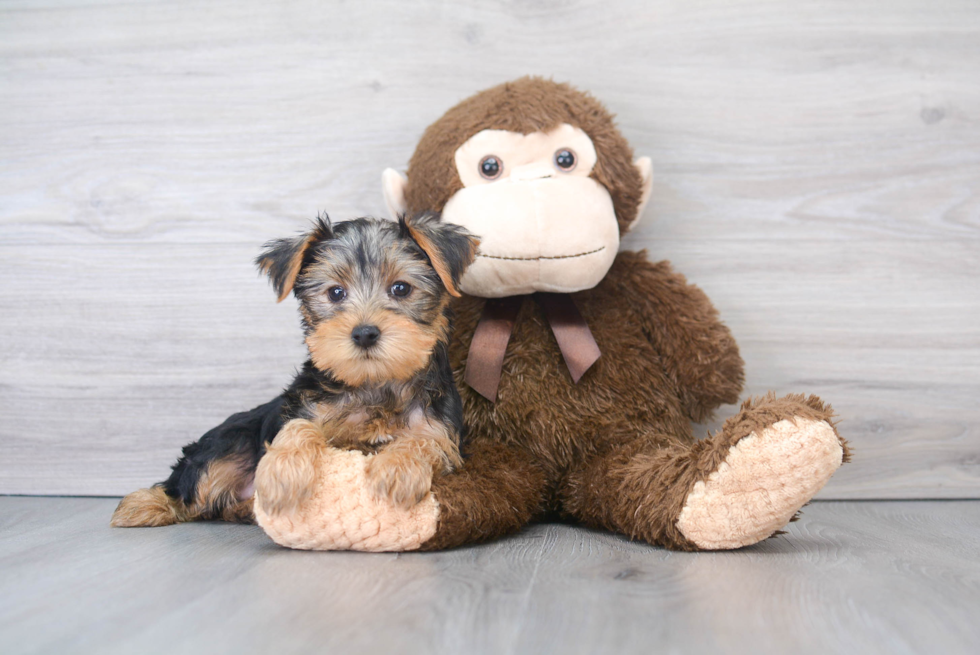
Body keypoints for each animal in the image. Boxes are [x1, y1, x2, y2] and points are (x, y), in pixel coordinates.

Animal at [113, 215, 480, 528]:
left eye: (401, 289)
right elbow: (298, 426)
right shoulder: (304, 405)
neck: (372, 384)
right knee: (191, 489)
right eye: (335, 292)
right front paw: (283, 471)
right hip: (227, 442)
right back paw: (144, 505)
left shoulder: (441, 428)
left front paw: (396, 468)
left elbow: (423, 441)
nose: (364, 333)